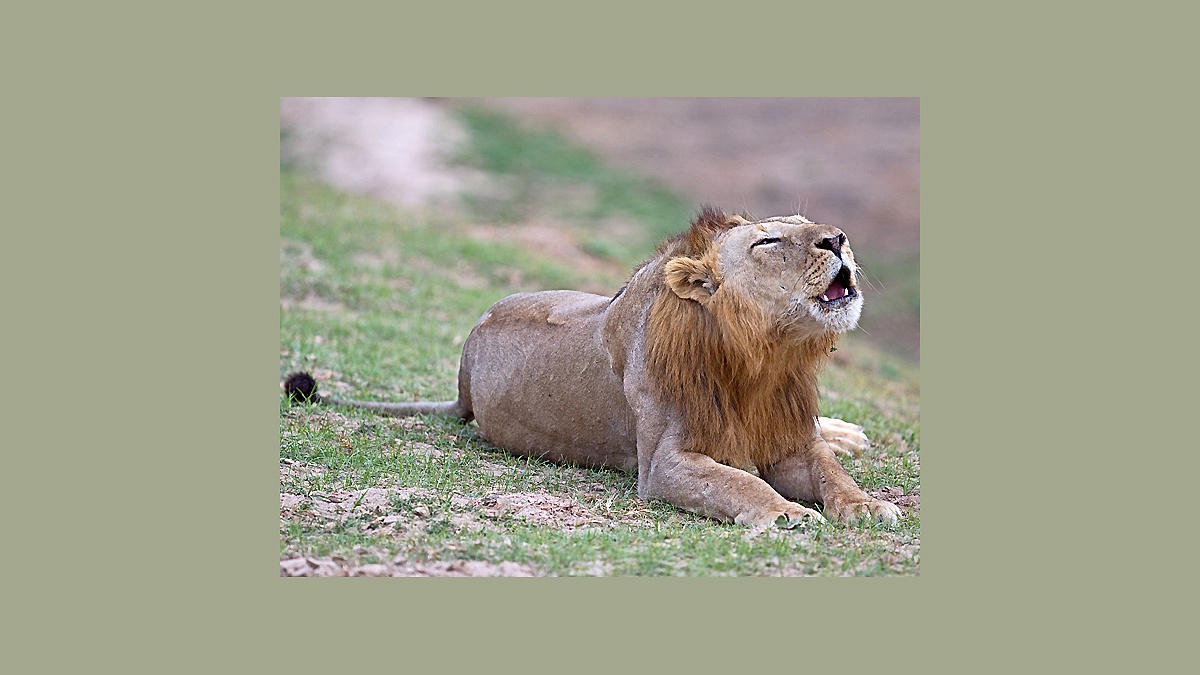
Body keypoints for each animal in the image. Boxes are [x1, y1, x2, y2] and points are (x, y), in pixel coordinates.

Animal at [285, 206, 902, 530]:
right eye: (769, 240)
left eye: (808, 222)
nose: (838, 238)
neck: (763, 358)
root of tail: (465, 368)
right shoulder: (665, 465)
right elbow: (740, 483)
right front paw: (788, 515)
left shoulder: (788, 437)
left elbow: (830, 472)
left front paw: (869, 506)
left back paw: (849, 434)